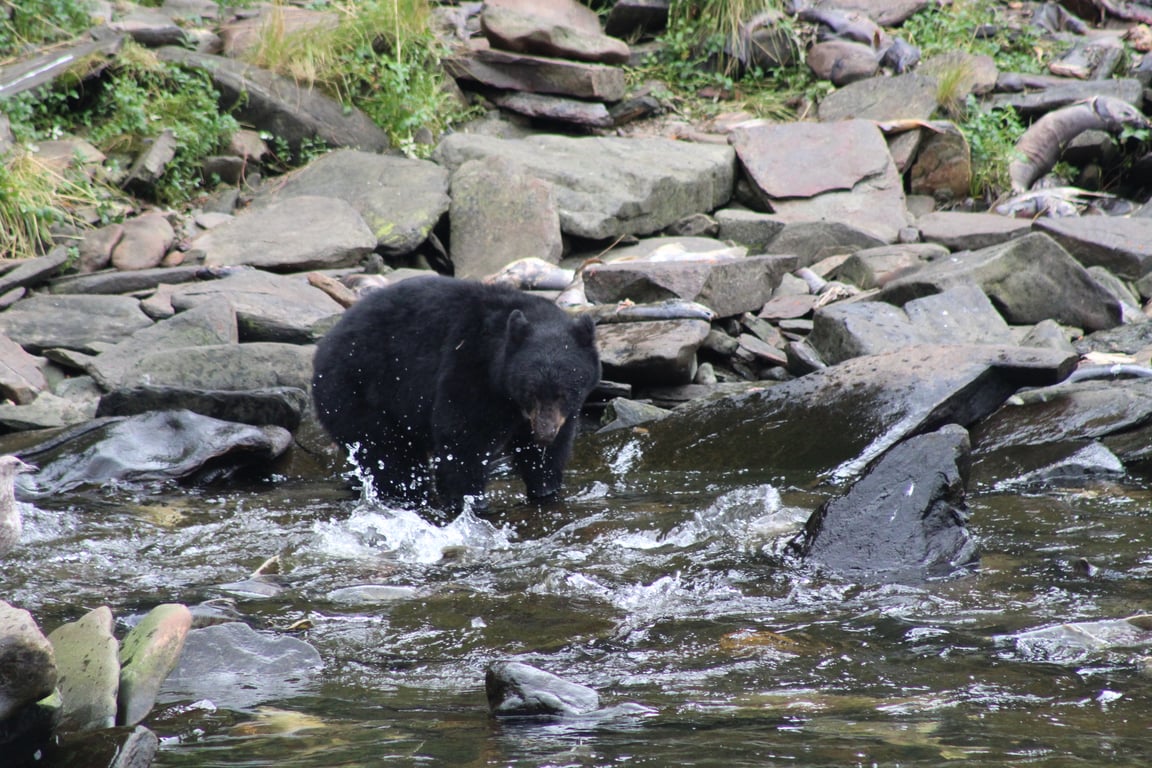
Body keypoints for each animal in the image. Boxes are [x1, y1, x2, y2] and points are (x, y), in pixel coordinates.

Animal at [311, 275, 601, 514]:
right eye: (531, 391)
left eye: (564, 393)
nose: (544, 433)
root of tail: (322, 350)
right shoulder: (469, 368)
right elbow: (463, 438)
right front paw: (469, 502)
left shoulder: (556, 415)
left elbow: (547, 452)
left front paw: (546, 488)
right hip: (356, 391)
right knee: (389, 456)